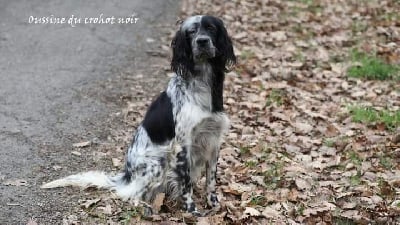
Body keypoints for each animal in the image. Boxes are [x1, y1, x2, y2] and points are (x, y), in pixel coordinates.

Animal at [42, 14, 236, 215]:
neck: (201, 83)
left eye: (211, 28)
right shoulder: (183, 145)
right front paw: (192, 211)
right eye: (191, 31)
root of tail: (127, 175)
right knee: (131, 193)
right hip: (158, 162)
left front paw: (213, 204)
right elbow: (186, 183)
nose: (202, 41)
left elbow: (211, 179)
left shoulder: (213, 140)